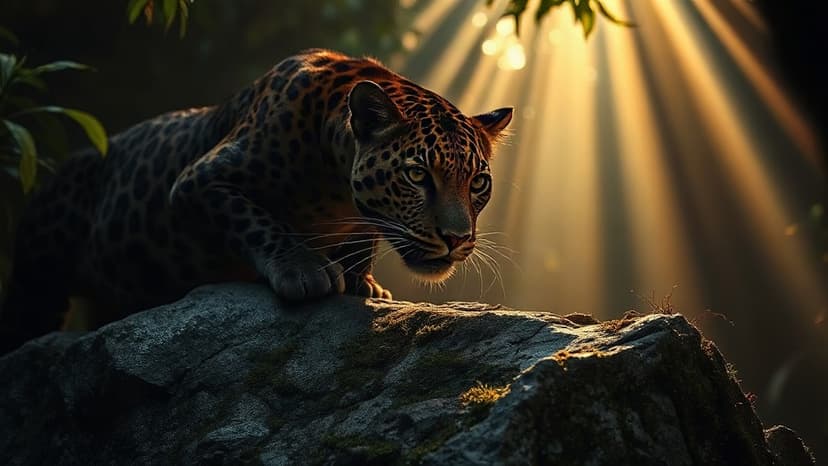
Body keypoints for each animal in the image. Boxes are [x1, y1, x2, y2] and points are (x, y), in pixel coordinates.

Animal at [0, 49, 512, 354]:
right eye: (417, 174)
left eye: (478, 184)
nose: (456, 239)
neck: (334, 187)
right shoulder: (199, 181)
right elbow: (256, 219)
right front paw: (303, 269)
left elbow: (362, 237)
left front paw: (361, 280)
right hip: (37, 277)